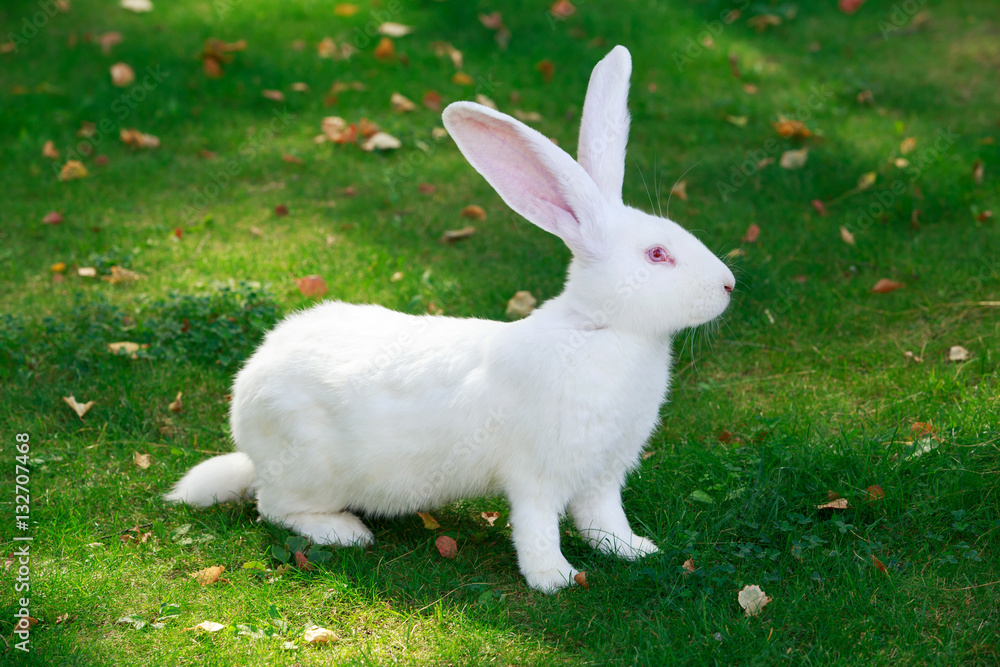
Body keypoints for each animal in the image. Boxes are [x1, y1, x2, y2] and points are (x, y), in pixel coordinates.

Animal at [164, 45, 736, 592]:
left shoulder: (603, 475)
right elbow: (537, 528)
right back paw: (344, 531)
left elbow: (604, 520)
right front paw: (553, 580)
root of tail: (246, 416)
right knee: (274, 508)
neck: (600, 328)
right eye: (658, 255)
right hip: (308, 470)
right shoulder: (536, 476)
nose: (729, 285)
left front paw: (636, 550)